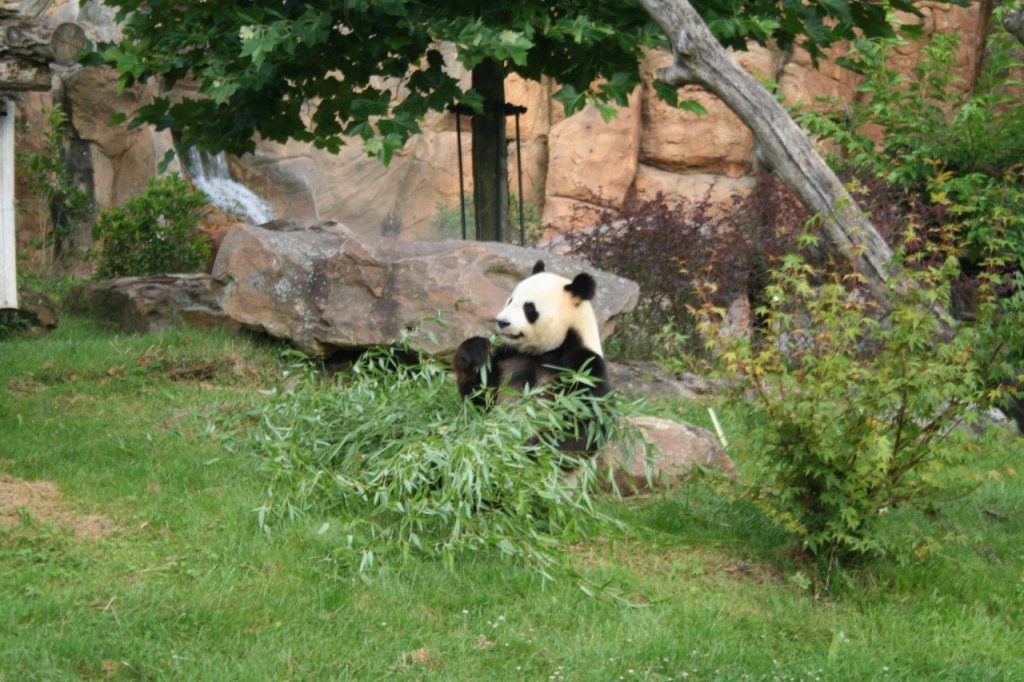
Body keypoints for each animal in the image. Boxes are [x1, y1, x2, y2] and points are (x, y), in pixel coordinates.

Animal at [454, 259, 606, 450]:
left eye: (529, 308)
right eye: (510, 300)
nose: (502, 322)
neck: (544, 350)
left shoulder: (583, 366)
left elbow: (583, 421)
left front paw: (531, 448)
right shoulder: (509, 355)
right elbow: (480, 400)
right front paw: (476, 352)